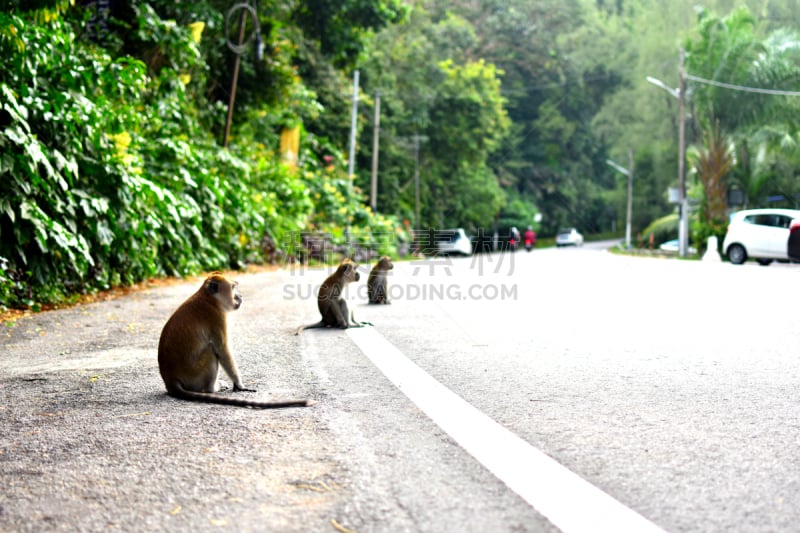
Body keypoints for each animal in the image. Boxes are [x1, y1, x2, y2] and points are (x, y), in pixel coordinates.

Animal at [158, 272, 310, 410]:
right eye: (233, 288)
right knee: (211, 351)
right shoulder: (216, 317)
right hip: (195, 375)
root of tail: (170, 379)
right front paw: (239, 385)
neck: (209, 299)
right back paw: (212, 388)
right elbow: (223, 349)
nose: (240, 296)